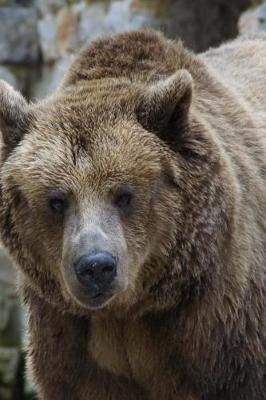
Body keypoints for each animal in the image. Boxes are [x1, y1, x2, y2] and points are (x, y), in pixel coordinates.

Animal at [0, 30, 266, 400]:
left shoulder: (222, 325)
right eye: (57, 200)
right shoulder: (72, 342)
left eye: (124, 195)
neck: (132, 309)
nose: (96, 267)